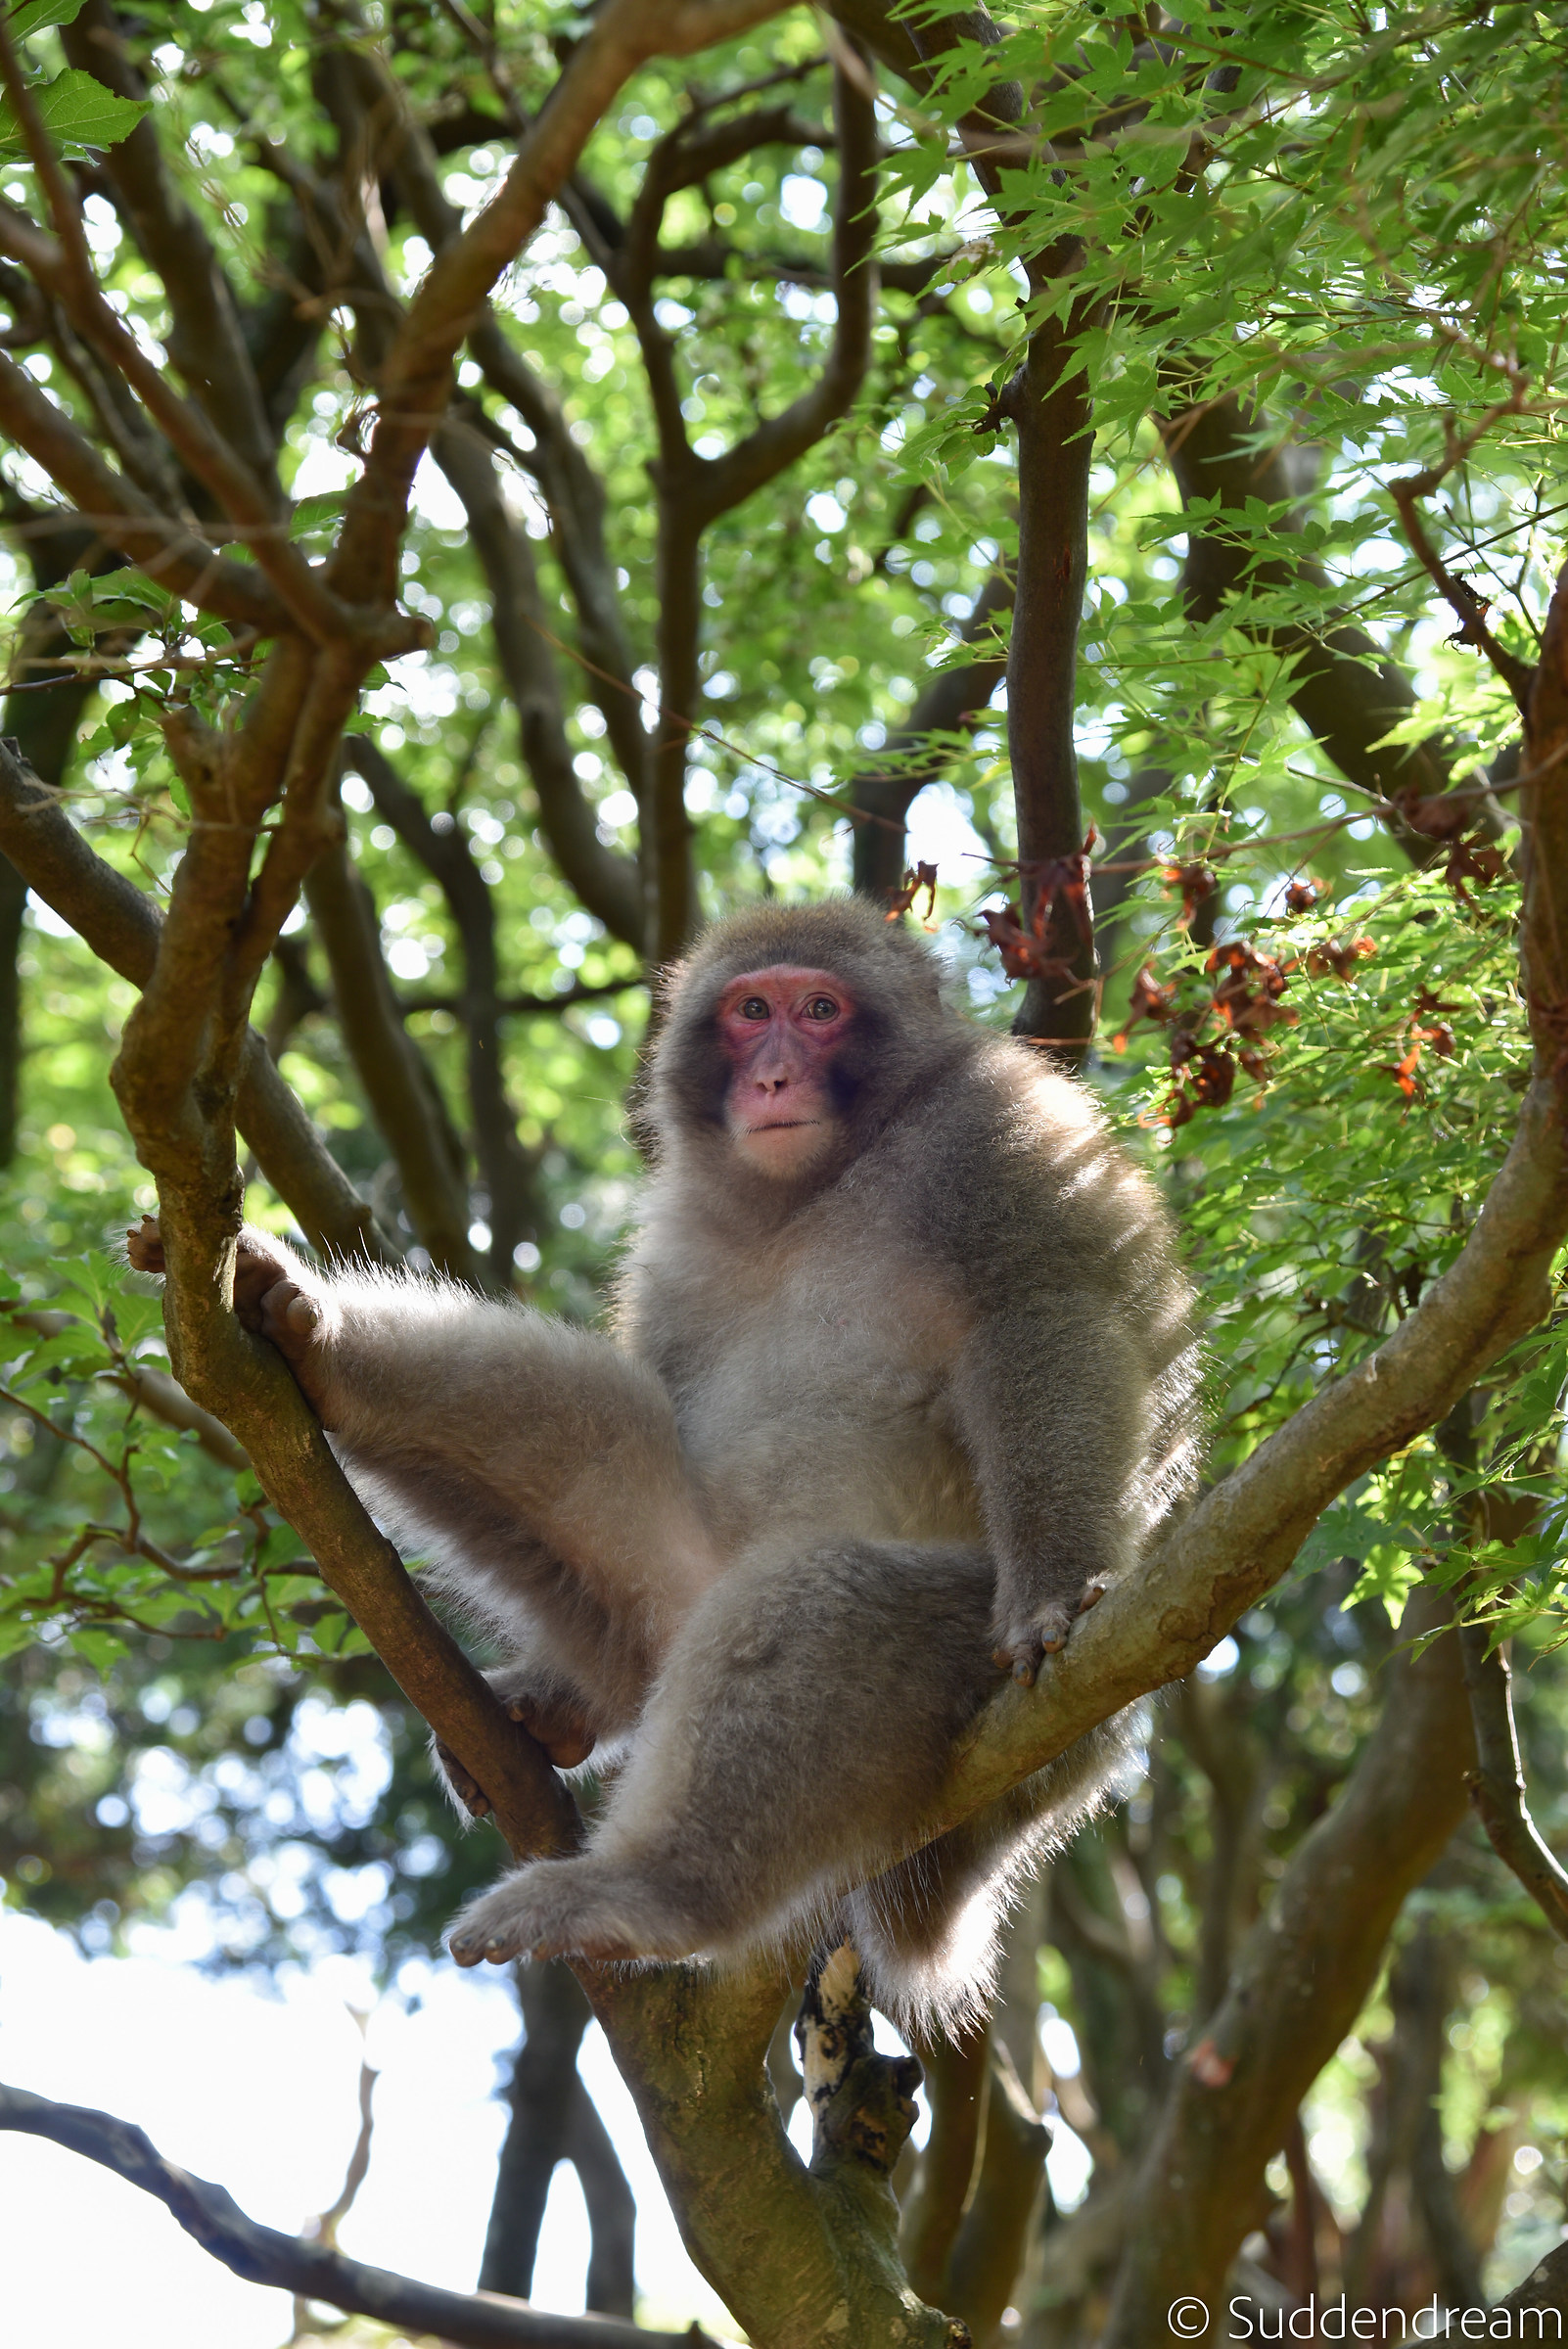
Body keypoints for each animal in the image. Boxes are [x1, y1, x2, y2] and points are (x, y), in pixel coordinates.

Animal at [127, 898, 1200, 2034]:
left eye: (821, 1011)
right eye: (751, 1013)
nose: (773, 1077)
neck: (814, 1186)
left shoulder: (1002, 1133)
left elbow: (1044, 1316)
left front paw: (1054, 1588)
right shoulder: (676, 1230)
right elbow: (654, 1383)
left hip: (986, 1672)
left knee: (821, 1600)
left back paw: (651, 1891)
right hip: (661, 1600)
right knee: (600, 1426)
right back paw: (321, 1357)